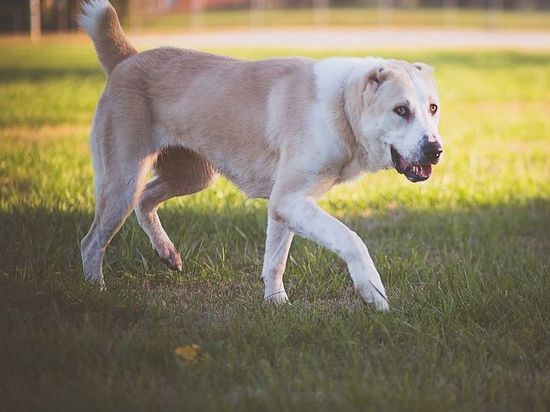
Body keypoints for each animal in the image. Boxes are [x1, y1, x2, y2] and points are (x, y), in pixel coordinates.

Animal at [81, 0, 444, 308]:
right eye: (400, 110)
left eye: (433, 108)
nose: (435, 150)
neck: (341, 106)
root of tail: (127, 60)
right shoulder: (288, 199)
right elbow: (351, 238)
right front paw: (373, 291)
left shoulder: (284, 205)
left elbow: (275, 261)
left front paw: (276, 303)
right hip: (123, 181)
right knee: (92, 241)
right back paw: (96, 291)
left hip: (193, 176)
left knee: (145, 201)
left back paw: (167, 253)